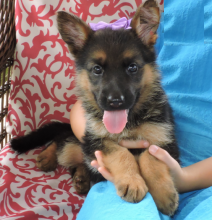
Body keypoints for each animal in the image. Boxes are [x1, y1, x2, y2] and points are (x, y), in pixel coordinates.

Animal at [10, 0, 180, 216]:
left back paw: (81, 178)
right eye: (97, 70)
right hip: (77, 144)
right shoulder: (97, 140)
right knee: (62, 139)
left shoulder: (163, 139)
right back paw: (47, 156)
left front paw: (163, 193)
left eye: (132, 67)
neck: (130, 122)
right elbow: (121, 153)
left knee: (77, 161)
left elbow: (151, 159)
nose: (115, 101)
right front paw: (132, 182)